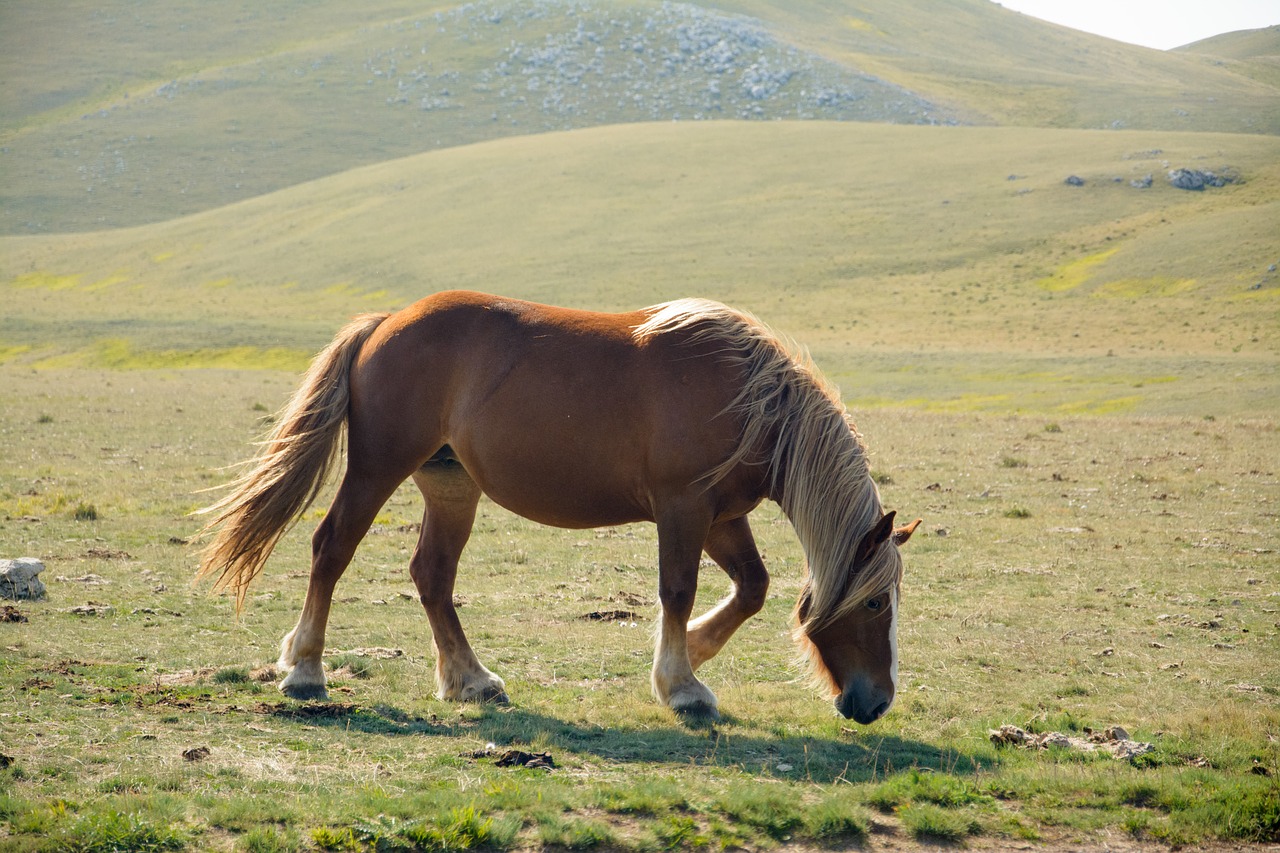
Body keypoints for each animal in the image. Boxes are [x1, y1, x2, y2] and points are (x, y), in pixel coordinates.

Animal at [197, 289, 921, 722]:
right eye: (875, 604)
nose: (878, 701)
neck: (749, 400)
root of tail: (386, 323)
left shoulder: (721, 514)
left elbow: (752, 587)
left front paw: (694, 651)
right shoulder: (683, 507)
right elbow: (678, 589)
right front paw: (681, 683)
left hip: (451, 486)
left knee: (432, 576)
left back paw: (471, 679)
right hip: (378, 468)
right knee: (333, 548)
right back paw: (306, 669)